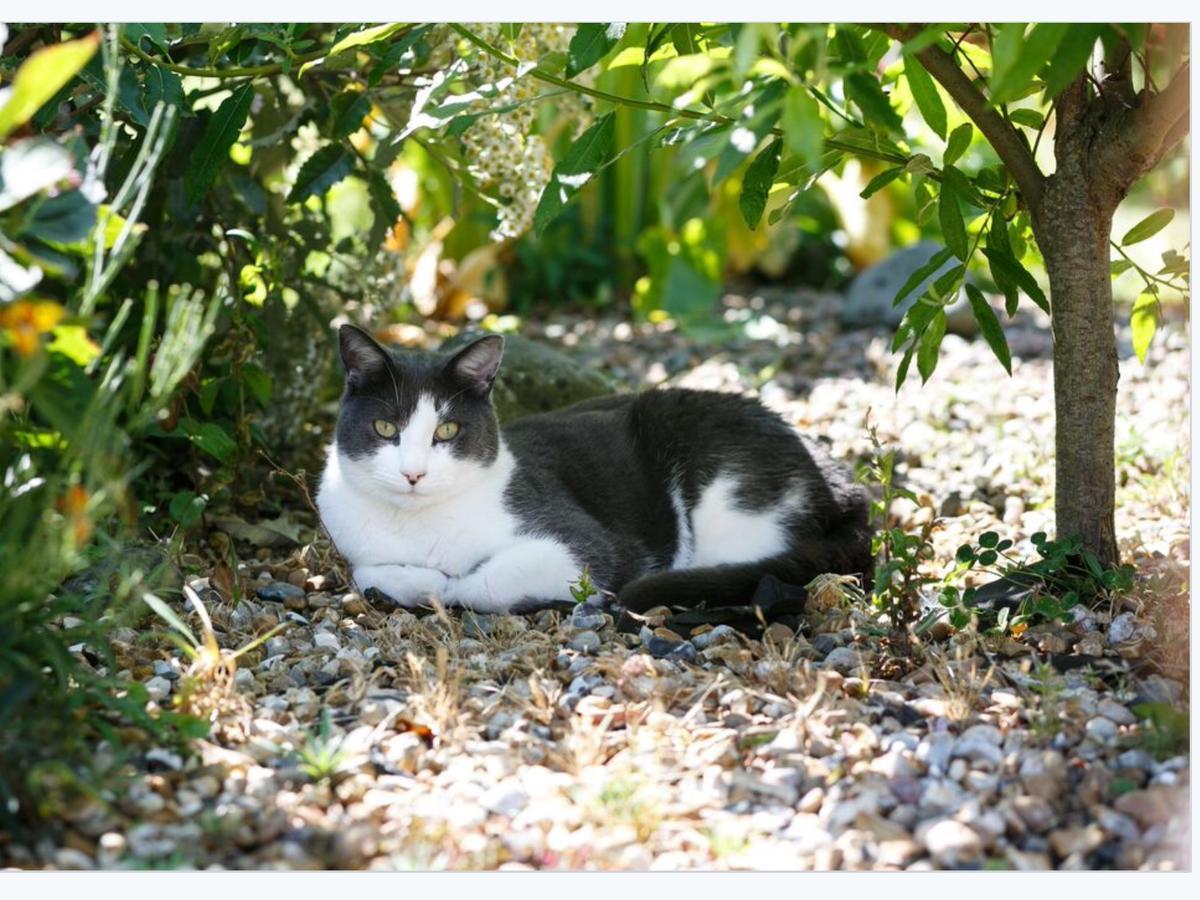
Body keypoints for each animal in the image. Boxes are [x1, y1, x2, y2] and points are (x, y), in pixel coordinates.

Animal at [314, 328, 868, 619]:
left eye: (447, 430)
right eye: (386, 427)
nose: (413, 475)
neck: (416, 524)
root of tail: (844, 484)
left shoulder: (591, 545)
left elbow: (481, 583)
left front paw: (437, 583)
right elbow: (367, 570)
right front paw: (408, 579)